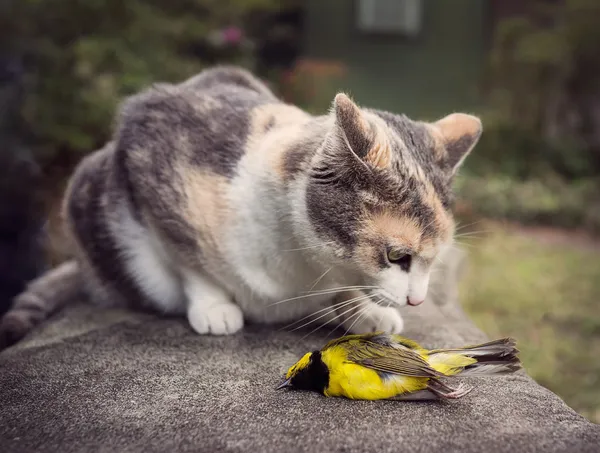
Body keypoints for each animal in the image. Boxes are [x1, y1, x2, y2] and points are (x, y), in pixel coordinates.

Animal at [0, 64, 480, 346]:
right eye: (397, 256)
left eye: (435, 258)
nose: (417, 301)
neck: (305, 269)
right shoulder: (153, 158)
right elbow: (190, 262)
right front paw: (215, 308)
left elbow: (347, 291)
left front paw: (367, 313)